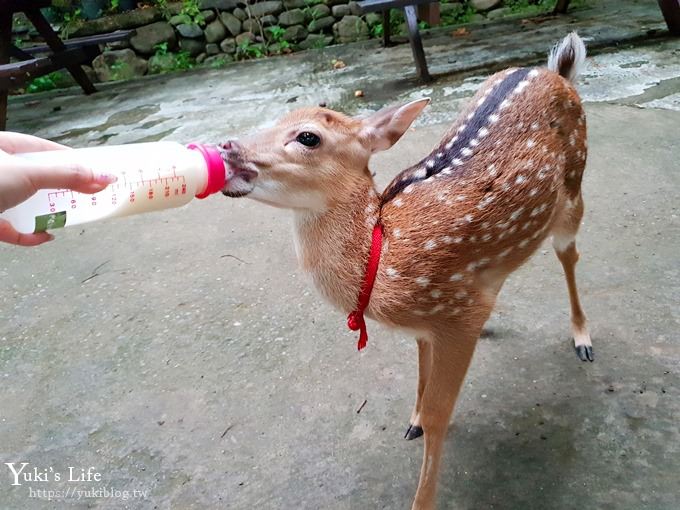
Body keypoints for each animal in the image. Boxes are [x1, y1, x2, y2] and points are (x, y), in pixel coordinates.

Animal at [222, 32, 588, 510]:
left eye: (308, 136)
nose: (228, 147)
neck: (386, 262)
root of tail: (554, 71)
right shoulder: (432, 322)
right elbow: (421, 375)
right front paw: (410, 420)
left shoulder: (454, 312)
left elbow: (438, 415)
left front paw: (422, 495)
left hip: (574, 191)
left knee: (569, 255)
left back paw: (582, 339)